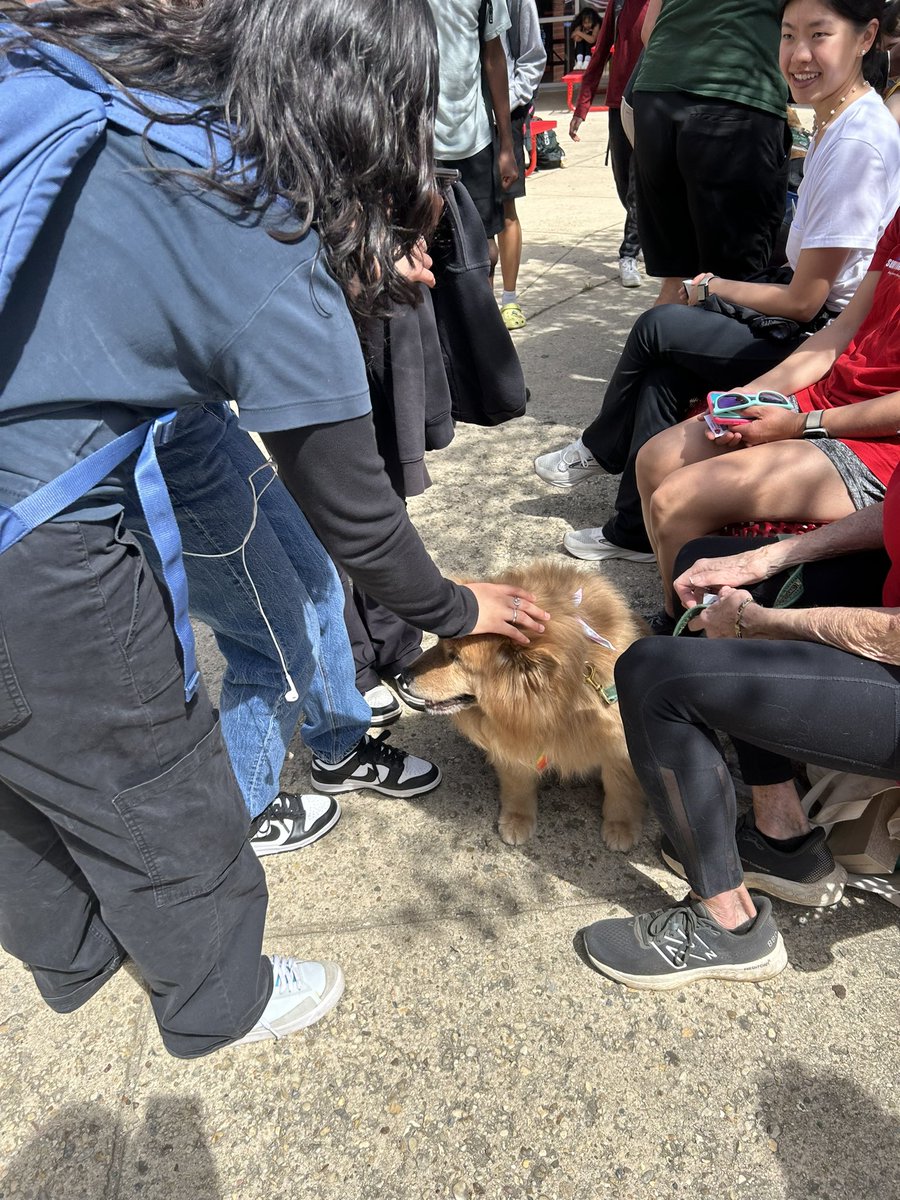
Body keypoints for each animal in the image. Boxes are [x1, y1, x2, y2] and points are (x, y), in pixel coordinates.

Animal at [408, 564, 648, 854]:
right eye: (439, 644)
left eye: (455, 658)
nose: (403, 675)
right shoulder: (512, 743)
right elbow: (518, 785)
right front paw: (517, 820)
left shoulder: (618, 748)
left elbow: (620, 787)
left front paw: (621, 826)